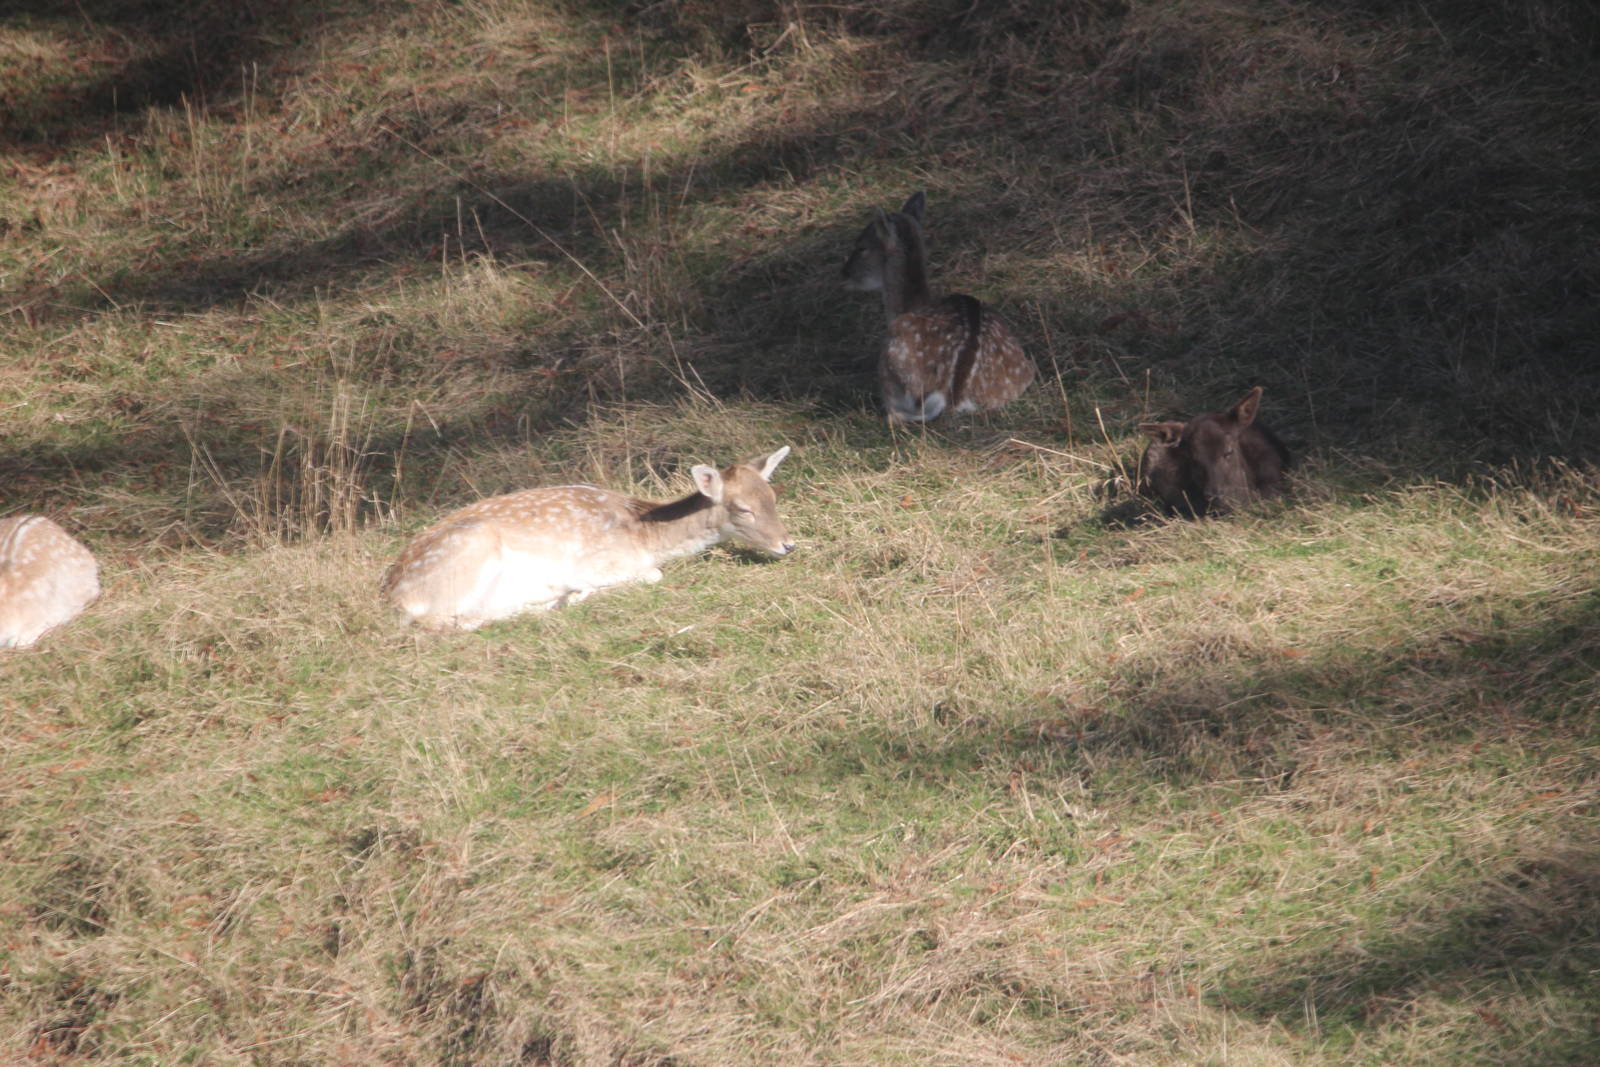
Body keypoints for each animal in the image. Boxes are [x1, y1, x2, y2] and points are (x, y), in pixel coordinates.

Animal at [381, 447, 796, 632]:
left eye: (773, 496)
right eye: (743, 509)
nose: (787, 544)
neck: (645, 536)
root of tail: (391, 594)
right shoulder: (593, 562)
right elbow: (652, 576)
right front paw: (577, 595)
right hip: (467, 552)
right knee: (441, 621)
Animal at [842, 190, 1036, 423]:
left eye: (861, 246)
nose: (844, 274)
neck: (909, 305)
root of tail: (953, 397)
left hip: (890, 367)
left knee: (894, 415)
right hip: (1025, 372)